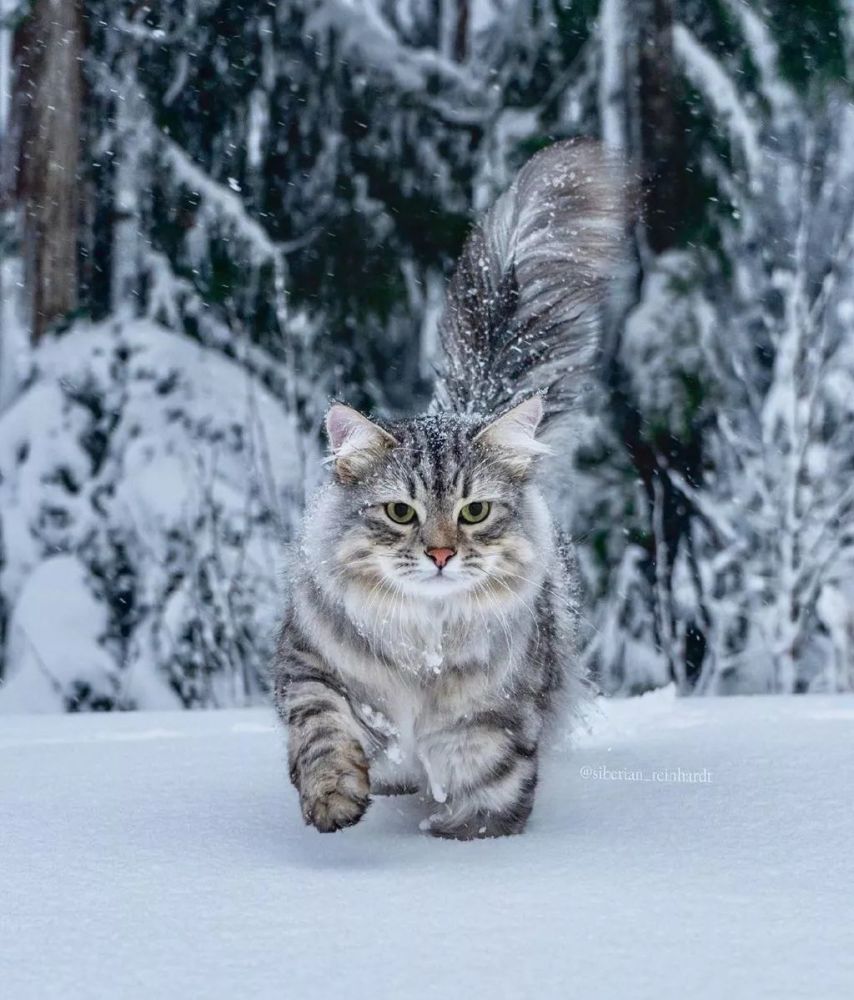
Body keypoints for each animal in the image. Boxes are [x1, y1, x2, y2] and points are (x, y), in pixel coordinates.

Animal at [274, 141, 628, 840]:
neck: (424, 648)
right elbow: (323, 733)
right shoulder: (310, 667)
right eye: (400, 511)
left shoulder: (494, 717)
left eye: (474, 511)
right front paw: (334, 801)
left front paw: (463, 847)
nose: (440, 554)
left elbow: (490, 797)